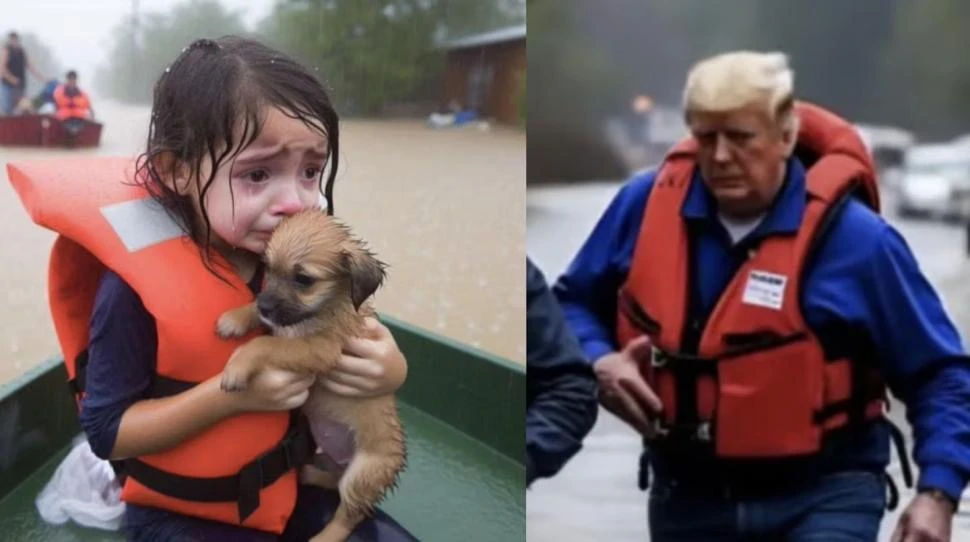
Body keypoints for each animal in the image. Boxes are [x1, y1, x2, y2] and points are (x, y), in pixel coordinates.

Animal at [216, 210, 404, 542]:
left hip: (363, 474)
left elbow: (266, 343)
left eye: (303, 279)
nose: (265, 307)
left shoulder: (320, 349)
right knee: (334, 481)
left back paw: (324, 537)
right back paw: (309, 473)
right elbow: (265, 324)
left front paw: (237, 366)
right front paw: (237, 318)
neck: (326, 307)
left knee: (349, 514)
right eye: (268, 268)